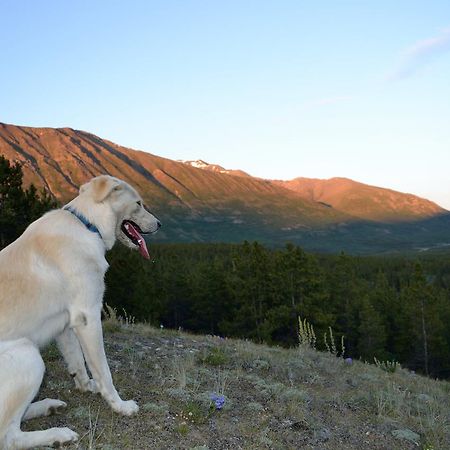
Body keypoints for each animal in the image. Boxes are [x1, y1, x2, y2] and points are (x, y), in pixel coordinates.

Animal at [0, 176, 162, 450]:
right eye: (139, 203)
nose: (160, 224)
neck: (88, 226)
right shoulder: (89, 318)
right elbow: (104, 370)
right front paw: (120, 406)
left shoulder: (68, 324)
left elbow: (78, 363)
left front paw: (87, 387)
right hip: (28, 355)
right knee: (9, 437)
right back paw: (59, 434)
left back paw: (48, 406)